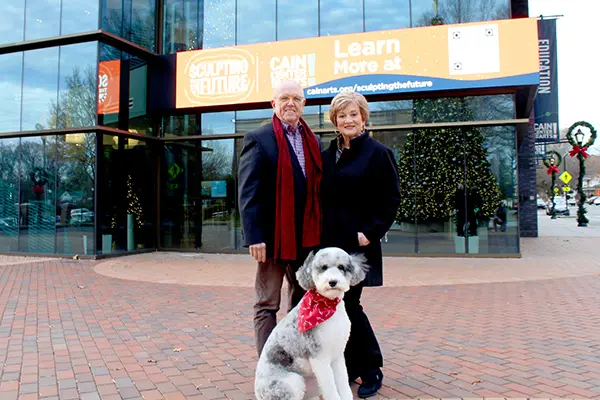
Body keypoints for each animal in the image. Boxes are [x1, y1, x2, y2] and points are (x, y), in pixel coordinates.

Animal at [254, 247, 367, 400]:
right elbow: (330, 387)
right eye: (323, 267)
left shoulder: (337, 354)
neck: (327, 306)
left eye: (341, 267)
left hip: (313, 383)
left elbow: (343, 381)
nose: (332, 282)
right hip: (291, 382)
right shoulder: (319, 357)